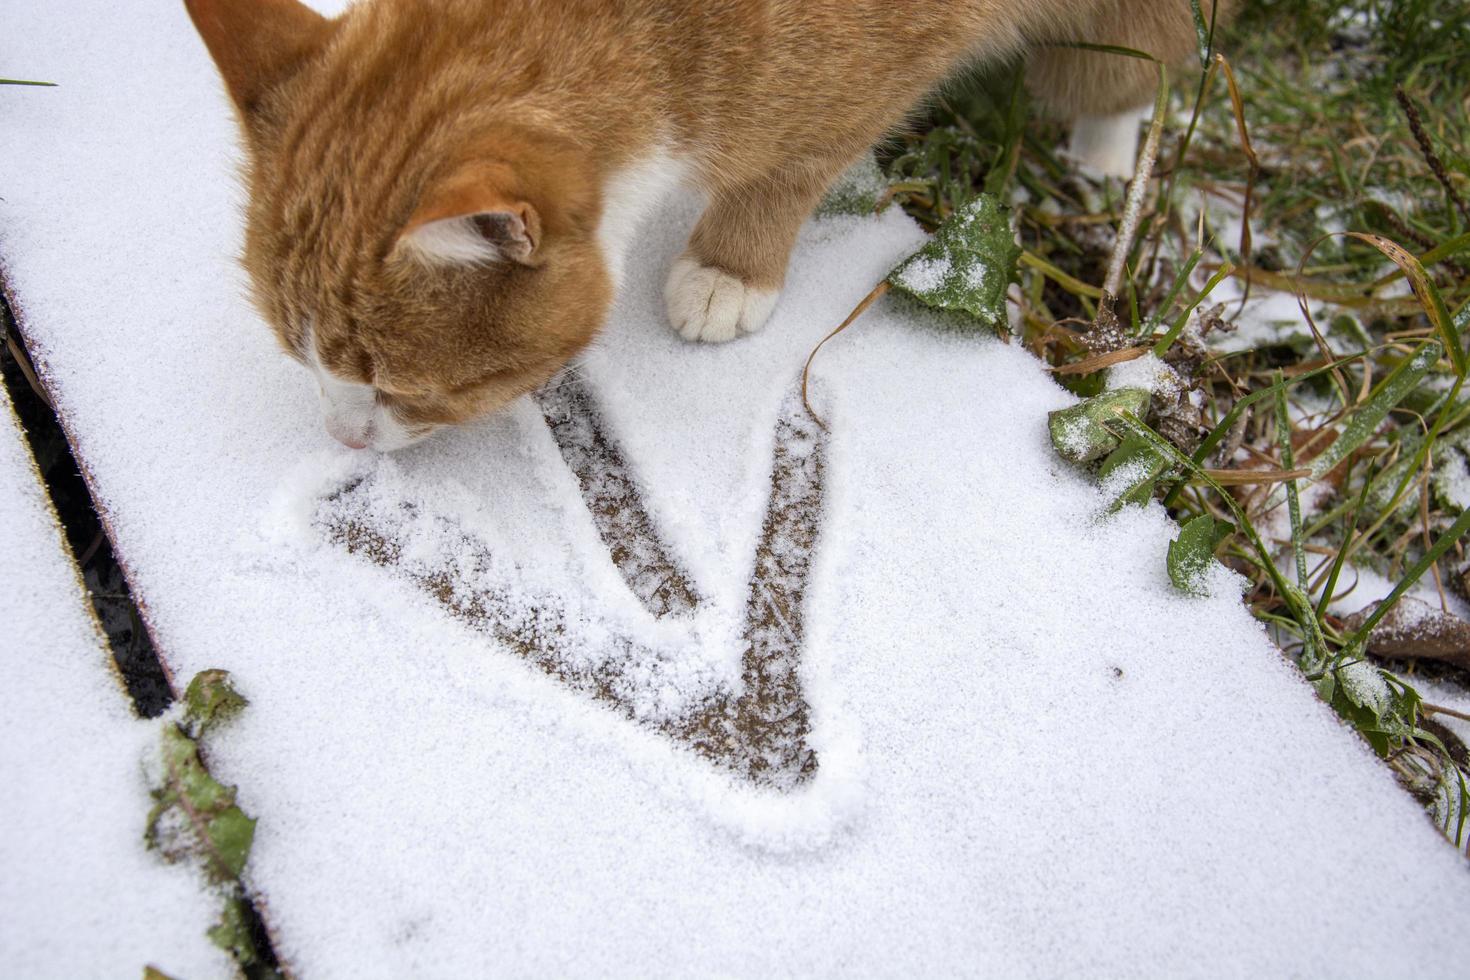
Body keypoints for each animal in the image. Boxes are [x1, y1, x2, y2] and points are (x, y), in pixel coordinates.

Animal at [189, 0, 1234, 452]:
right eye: (299, 360)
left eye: (399, 386)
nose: (341, 440)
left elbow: (793, 160)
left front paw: (732, 266)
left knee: (1134, 59)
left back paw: (1110, 164)